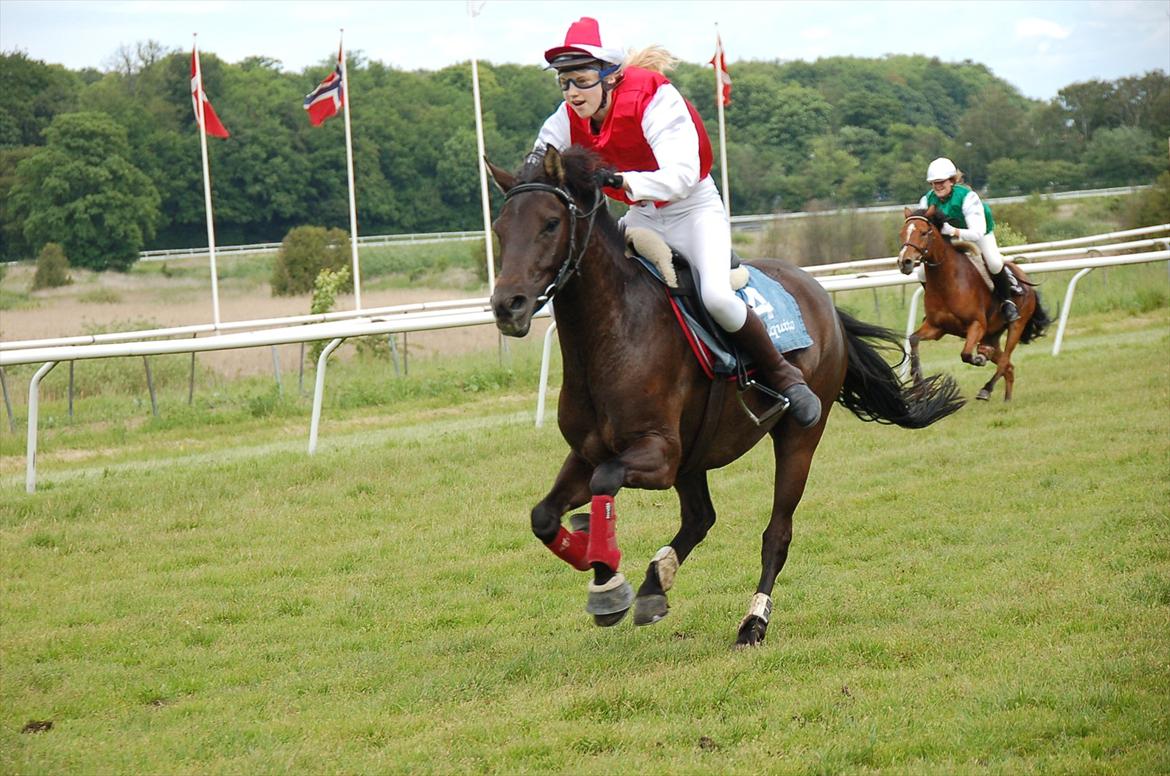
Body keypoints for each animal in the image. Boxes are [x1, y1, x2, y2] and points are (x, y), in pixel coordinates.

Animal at [489, 147, 964, 650]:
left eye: (550, 224)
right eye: (499, 228)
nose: (507, 305)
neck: (612, 335)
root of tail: (821, 296)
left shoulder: (658, 454)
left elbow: (605, 481)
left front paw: (605, 577)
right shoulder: (589, 451)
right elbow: (544, 515)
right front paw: (597, 561)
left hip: (797, 437)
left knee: (777, 533)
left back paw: (752, 623)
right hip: (695, 453)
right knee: (700, 517)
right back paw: (657, 581)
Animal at [893, 205, 1053, 400]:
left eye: (923, 232)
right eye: (902, 234)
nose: (905, 262)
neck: (945, 282)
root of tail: (1025, 279)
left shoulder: (977, 324)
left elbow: (966, 354)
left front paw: (980, 358)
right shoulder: (936, 327)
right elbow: (913, 339)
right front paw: (918, 385)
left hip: (1017, 325)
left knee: (1005, 360)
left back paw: (987, 388)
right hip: (991, 334)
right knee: (1008, 367)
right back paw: (1007, 399)